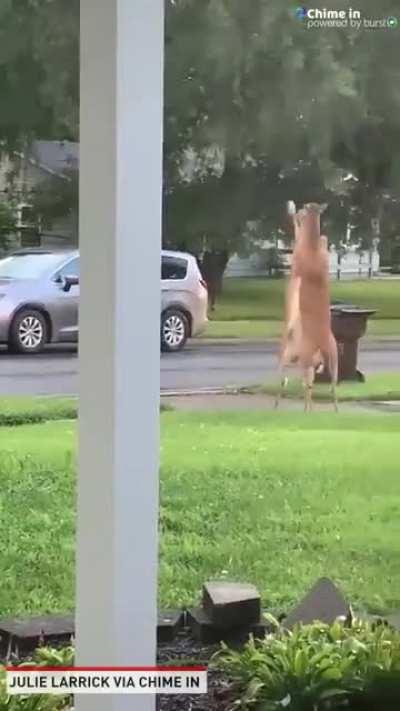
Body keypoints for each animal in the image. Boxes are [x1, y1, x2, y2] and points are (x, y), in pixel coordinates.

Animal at [275, 202, 338, 412]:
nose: (301, 208)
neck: (312, 247)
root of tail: (320, 346)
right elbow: (322, 239)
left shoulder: (297, 260)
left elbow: (297, 234)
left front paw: (291, 209)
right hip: (333, 357)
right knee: (329, 386)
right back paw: (333, 411)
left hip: (302, 356)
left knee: (298, 381)